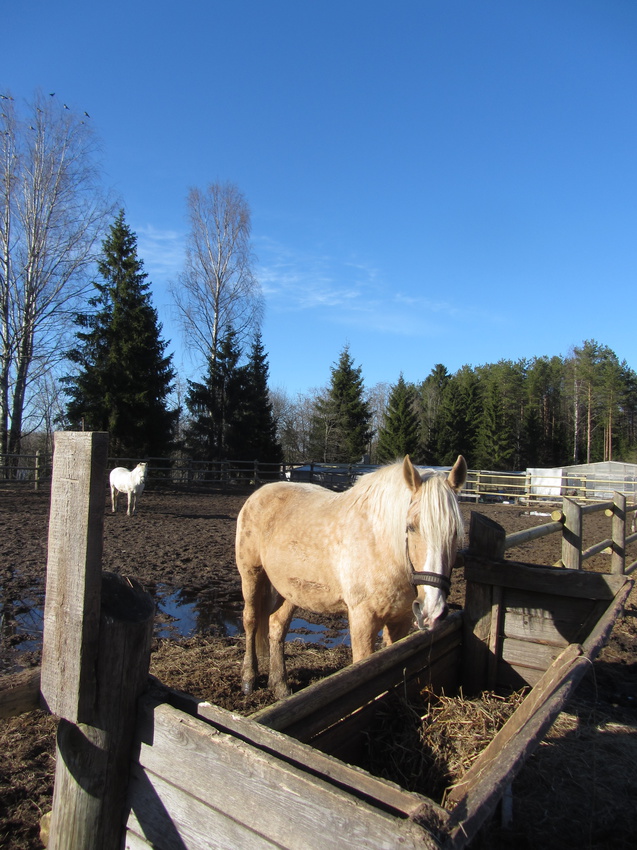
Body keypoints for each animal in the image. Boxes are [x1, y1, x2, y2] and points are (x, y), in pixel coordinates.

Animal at [236, 454, 464, 700]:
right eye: (411, 527)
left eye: (455, 533)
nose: (432, 609)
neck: (381, 542)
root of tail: (260, 493)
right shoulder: (363, 619)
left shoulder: (400, 621)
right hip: (251, 574)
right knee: (251, 620)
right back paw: (248, 679)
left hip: (290, 589)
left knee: (277, 624)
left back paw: (280, 686)